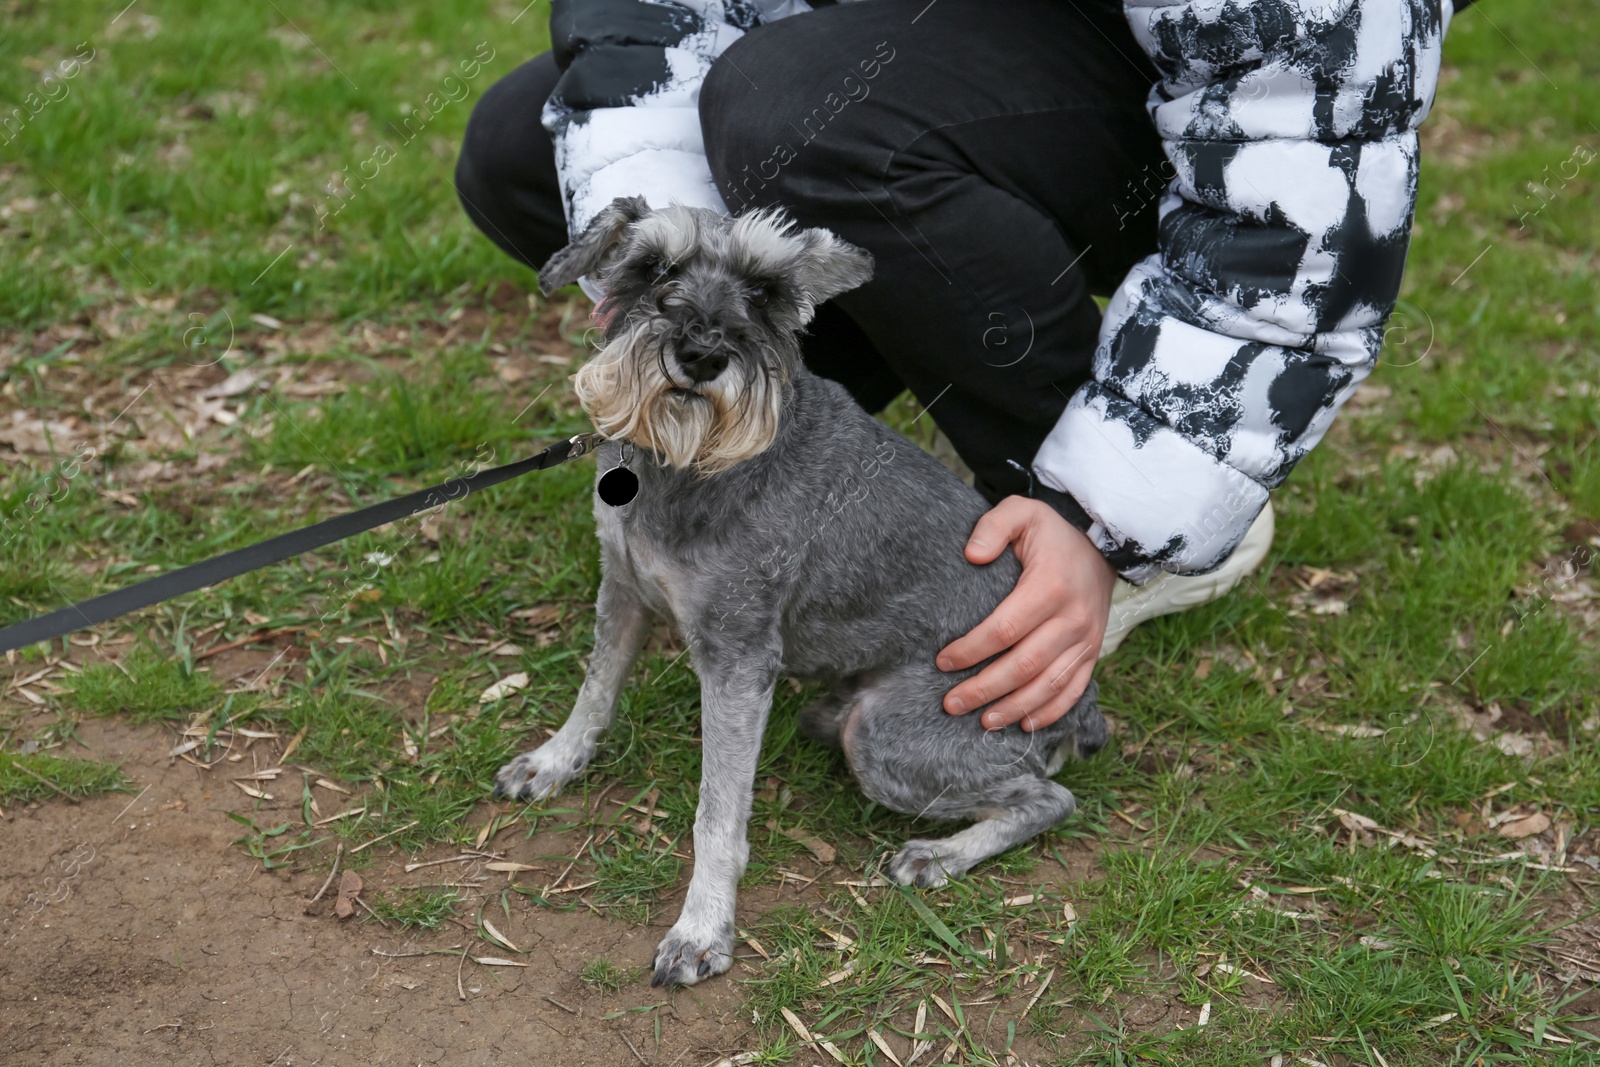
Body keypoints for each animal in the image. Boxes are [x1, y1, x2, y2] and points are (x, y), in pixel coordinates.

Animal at [492, 195, 1107, 991]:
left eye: (765, 292)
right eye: (654, 268)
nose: (702, 354)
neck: (689, 461)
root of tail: (1081, 702)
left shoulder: (737, 658)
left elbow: (717, 813)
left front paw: (701, 930)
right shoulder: (622, 589)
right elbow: (594, 692)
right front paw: (553, 762)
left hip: (888, 734)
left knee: (1049, 798)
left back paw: (936, 857)